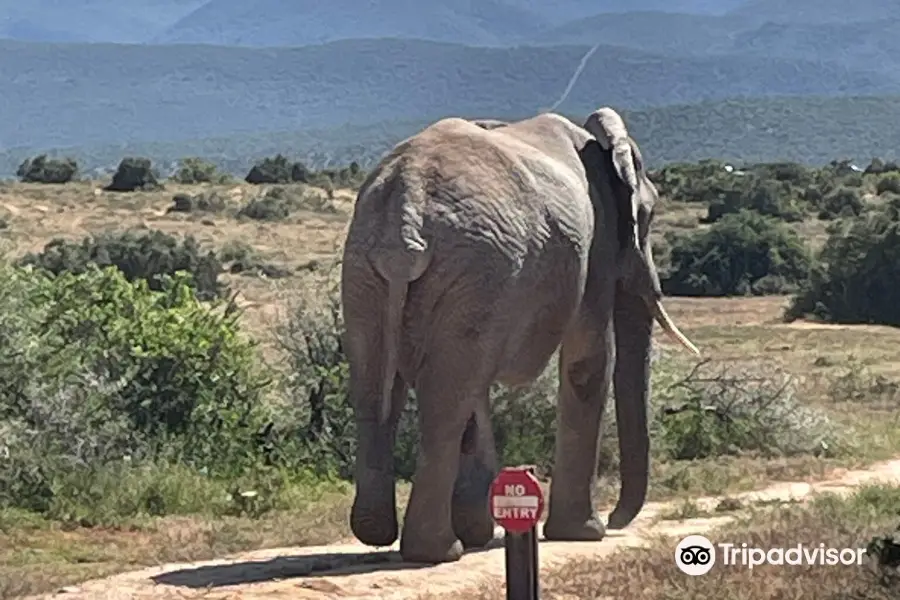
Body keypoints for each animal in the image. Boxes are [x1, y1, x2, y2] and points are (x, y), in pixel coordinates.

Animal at [342, 106, 700, 564]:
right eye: (649, 216)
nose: (617, 521)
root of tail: (407, 202)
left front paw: (480, 531)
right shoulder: (597, 244)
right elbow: (589, 361)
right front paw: (584, 533)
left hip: (371, 272)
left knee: (377, 389)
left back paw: (378, 532)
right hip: (476, 264)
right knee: (446, 401)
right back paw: (439, 551)